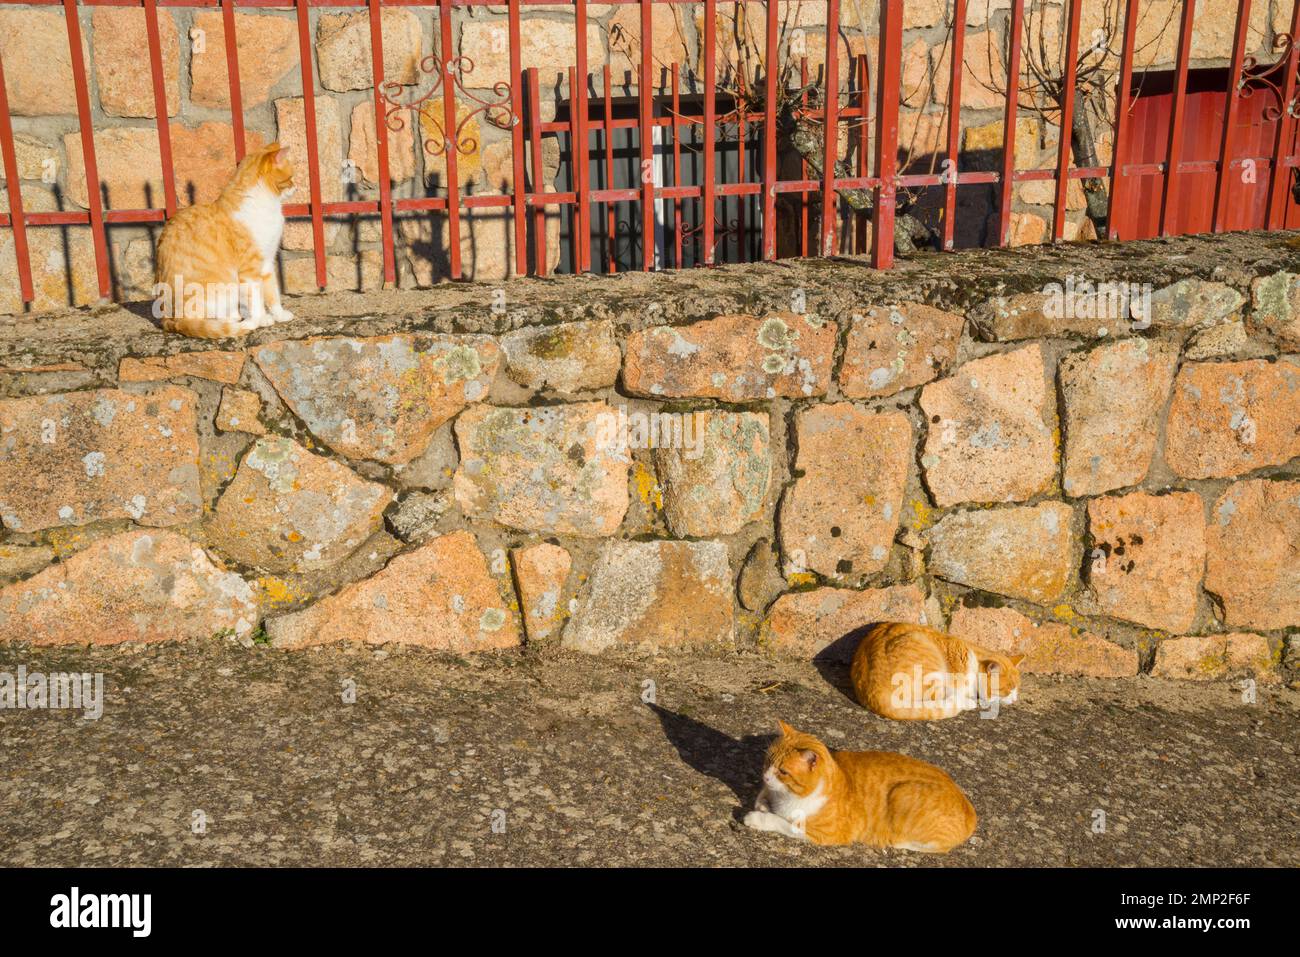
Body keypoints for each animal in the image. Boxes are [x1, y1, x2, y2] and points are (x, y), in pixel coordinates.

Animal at [154, 140, 295, 338]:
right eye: (290, 178)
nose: (296, 187)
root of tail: (170, 320)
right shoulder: (249, 270)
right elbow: (255, 299)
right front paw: (261, 319)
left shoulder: (266, 262)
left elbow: (272, 292)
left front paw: (279, 315)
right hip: (221, 287)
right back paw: (243, 322)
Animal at [743, 717, 977, 852]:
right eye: (767, 761)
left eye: (783, 772)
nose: (765, 777)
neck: (788, 796)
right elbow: (763, 797)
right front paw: (763, 802)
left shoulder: (826, 833)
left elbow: (782, 822)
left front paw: (757, 818)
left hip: (902, 793)